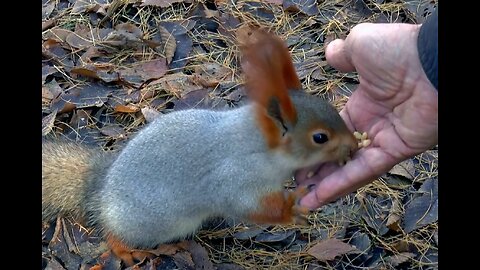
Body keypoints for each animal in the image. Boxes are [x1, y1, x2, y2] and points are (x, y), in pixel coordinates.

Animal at [41, 28, 358, 266]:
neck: (257, 145)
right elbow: (246, 206)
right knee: (113, 232)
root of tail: (101, 187)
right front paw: (290, 209)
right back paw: (125, 248)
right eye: (320, 137)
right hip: (148, 222)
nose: (355, 146)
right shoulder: (233, 179)